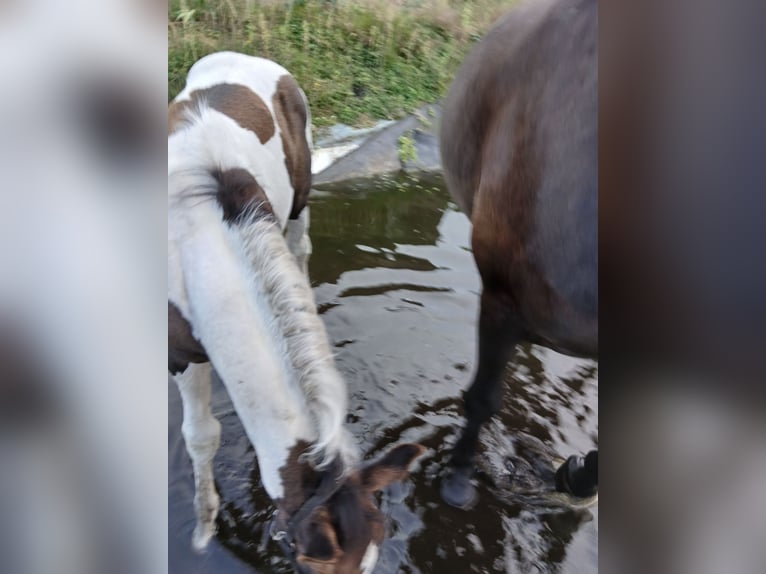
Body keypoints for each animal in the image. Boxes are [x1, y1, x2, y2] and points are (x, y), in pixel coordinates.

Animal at [168, 51, 424, 572]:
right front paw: (203, 531)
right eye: (314, 567)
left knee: (300, 254)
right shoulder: (179, 353)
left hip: (299, 200)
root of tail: (245, 57)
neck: (198, 243)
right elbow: (200, 435)